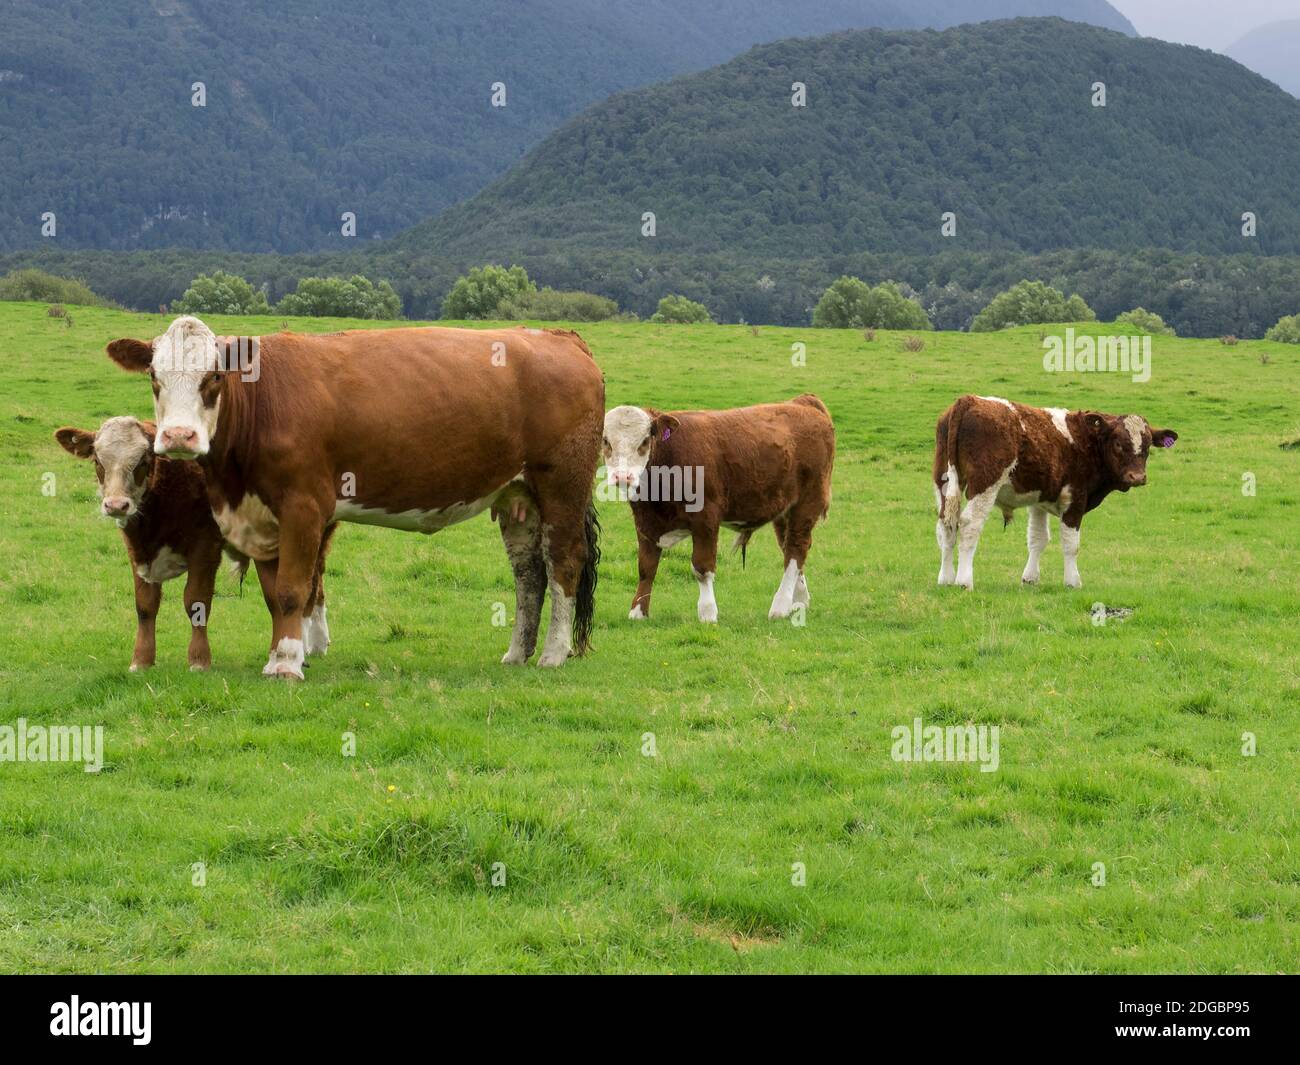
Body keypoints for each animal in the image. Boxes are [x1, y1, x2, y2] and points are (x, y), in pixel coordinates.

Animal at [55, 418, 335, 676]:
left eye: (143, 460)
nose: (115, 505)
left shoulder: (205, 547)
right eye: (98, 461)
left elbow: (196, 601)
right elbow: (145, 605)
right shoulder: (138, 551)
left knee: (312, 584)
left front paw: (199, 659)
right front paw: (142, 660)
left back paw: (310, 643)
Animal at [105, 318, 603, 681]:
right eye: (154, 376)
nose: (178, 437)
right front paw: (282, 654)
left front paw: (286, 664)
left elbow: (291, 590)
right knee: (529, 575)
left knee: (563, 563)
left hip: (562, 488)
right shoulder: (263, 518)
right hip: (518, 496)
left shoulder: (303, 507)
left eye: (213, 376)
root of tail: (559, 336)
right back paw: (517, 652)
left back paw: (553, 653)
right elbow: (274, 595)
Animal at [600, 395, 832, 621]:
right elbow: (646, 568)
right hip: (784, 509)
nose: (622, 477)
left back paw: (780, 606)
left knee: (796, 549)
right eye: (606, 442)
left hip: (807, 503)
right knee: (789, 548)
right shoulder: (645, 523)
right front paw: (638, 611)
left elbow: (702, 567)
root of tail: (802, 402)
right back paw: (799, 600)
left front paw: (708, 612)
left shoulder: (706, 518)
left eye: (645, 441)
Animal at [935, 395, 1180, 590]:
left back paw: (946, 579)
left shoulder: (1039, 500)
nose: (1137, 477)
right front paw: (1072, 581)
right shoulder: (1075, 500)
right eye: (1118, 443)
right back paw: (963, 581)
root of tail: (969, 400)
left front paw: (1030, 578)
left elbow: (1038, 539)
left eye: (1147, 446)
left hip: (943, 483)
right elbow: (1071, 545)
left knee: (946, 526)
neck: (1086, 441)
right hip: (985, 485)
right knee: (969, 525)